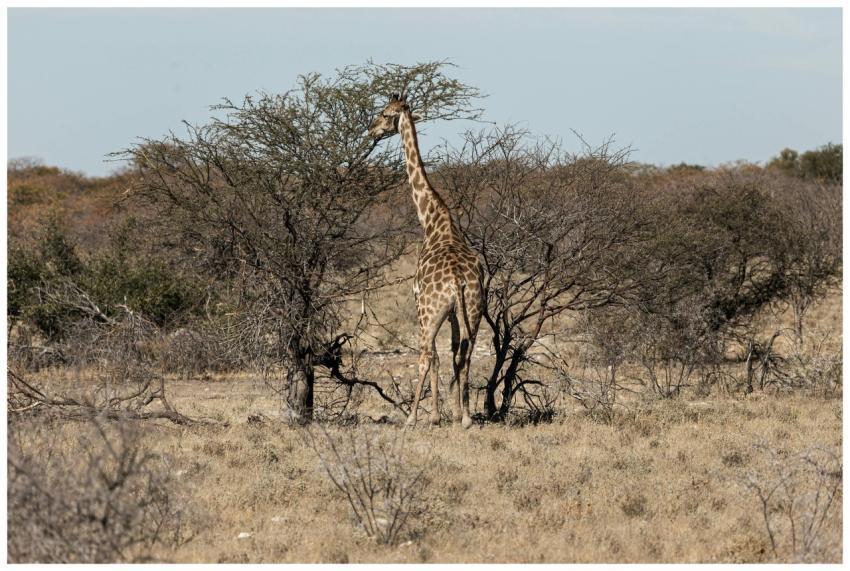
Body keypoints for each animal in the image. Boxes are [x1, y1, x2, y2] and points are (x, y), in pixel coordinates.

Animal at [369, 91, 485, 429]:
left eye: (385, 113)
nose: (371, 130)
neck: (432, 220)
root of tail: (458, 279)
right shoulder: (455, 314)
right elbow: (453, 353)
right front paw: (454, 412)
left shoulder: (419, 300)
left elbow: (433, 356)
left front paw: (432, 415)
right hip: (474, 309)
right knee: (465, 355)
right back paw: (467, 418)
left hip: (428, 313)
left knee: (425, 355)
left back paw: (410, 418)